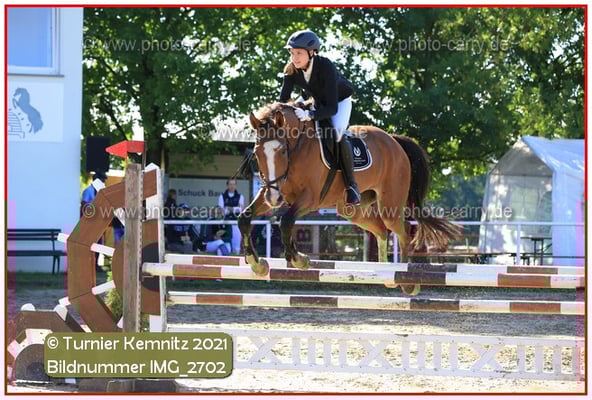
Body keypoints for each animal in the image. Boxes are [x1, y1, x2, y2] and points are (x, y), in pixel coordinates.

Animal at [237, 102, 460, 295]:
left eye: (282, 150)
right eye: (257, 153)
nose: (274, 198)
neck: (298, 149)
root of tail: (394, 141)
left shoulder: (311, 198)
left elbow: (286, 220)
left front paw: (299, 260)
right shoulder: (272, 191)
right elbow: (244, 218)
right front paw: (257, 264)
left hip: (389, 203)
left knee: (402, 232)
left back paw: (407, 281)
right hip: (352, 210)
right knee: (381, 230)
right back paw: (387, 273)